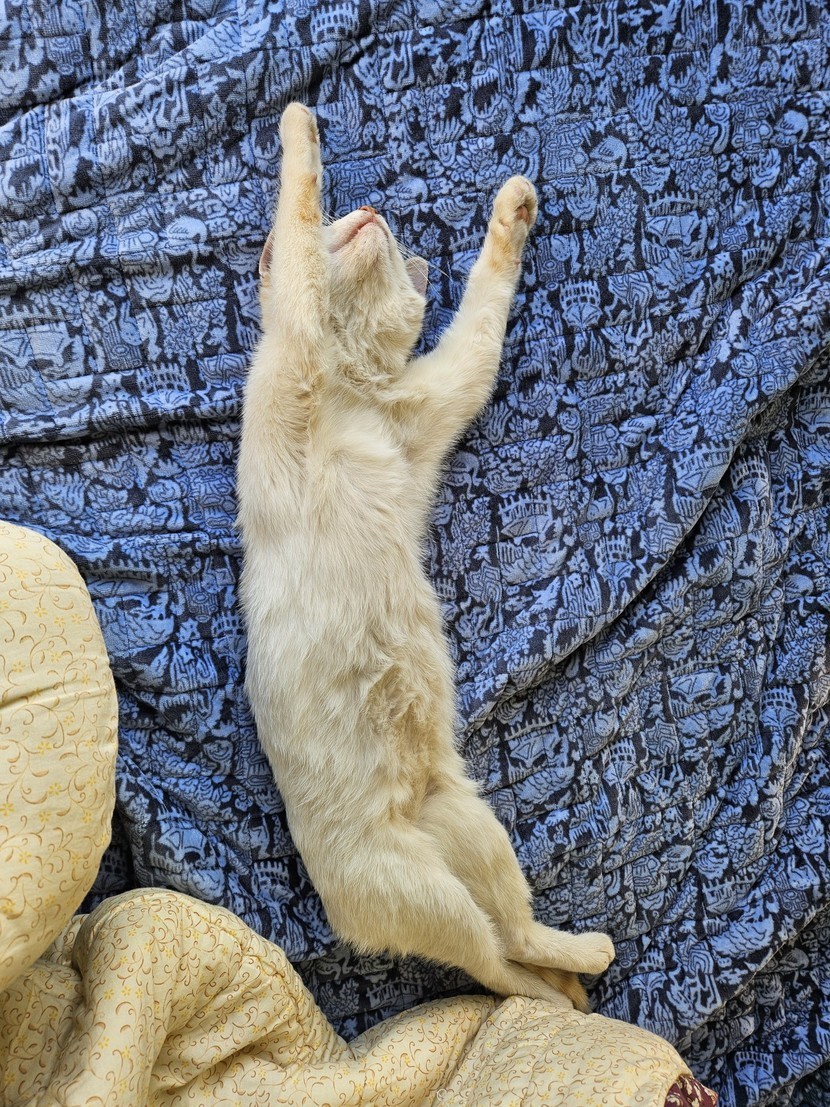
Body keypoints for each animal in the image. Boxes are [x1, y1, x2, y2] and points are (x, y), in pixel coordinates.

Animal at [237, 102, 615, 1011]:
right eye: (347, 220)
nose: (374, 211)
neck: (352, 391)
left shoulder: (444, 393)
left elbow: (483, 309)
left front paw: (513, 211)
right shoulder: (293, 335)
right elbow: (295, 218)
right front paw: (299, 121)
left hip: (473, 827)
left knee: (509, 938)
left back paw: (572, 975)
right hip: (428, 887)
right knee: (492, 961)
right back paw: (575, 979)